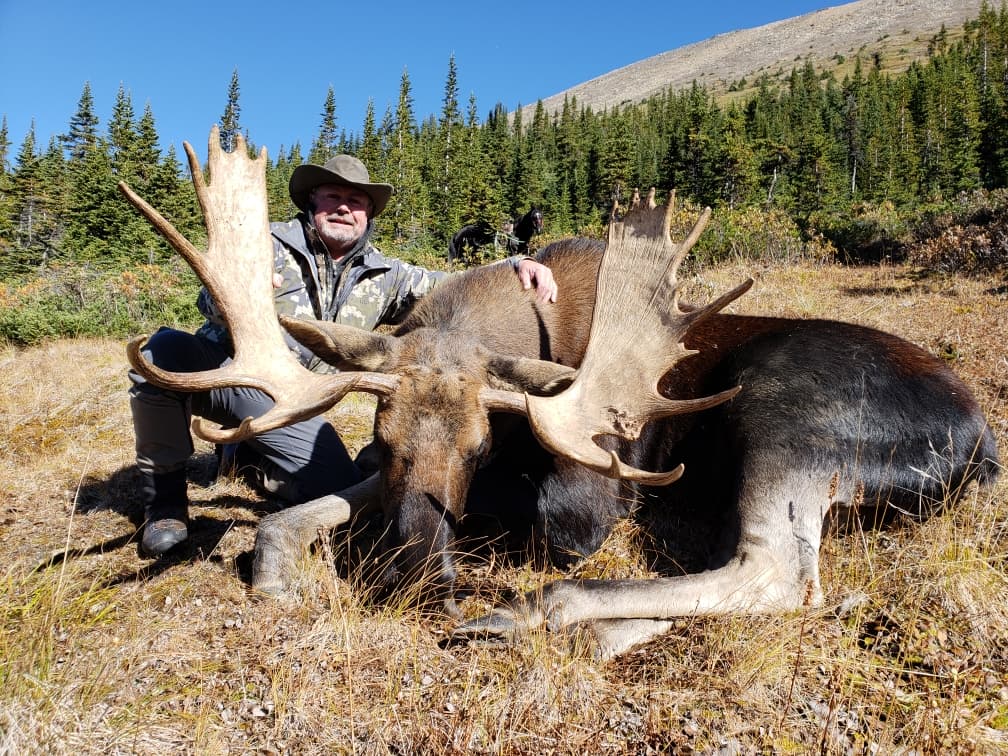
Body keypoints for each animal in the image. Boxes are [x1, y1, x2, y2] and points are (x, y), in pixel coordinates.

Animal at [120, 128, 998, 658]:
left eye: (481, 445)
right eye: (382, 437)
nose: (417, 576)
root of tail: (982, 439)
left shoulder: (594, 487)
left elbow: (542, 516)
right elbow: (303, 512)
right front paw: (278, 562)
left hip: (786, 414)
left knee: (779, 573)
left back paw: (532, 611)